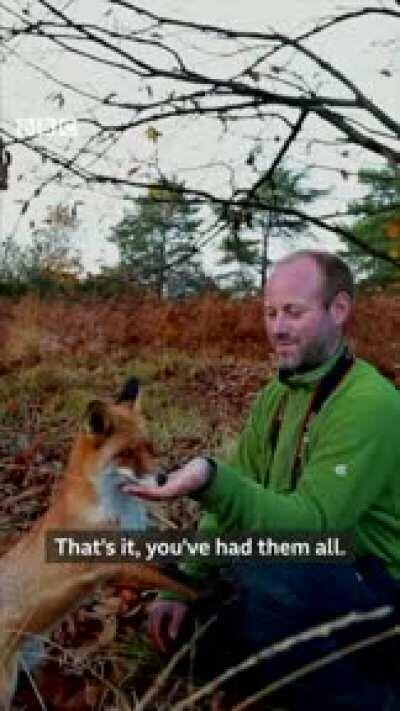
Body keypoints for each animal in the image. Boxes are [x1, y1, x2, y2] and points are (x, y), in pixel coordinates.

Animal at [0, 378, 198, 709]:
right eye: (126, 453)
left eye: (149, 447)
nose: (162, 479)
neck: (115, 509)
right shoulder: (117, 564)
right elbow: (185, 584)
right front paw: (220, 591)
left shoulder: (139, 541)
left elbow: (176, 568)